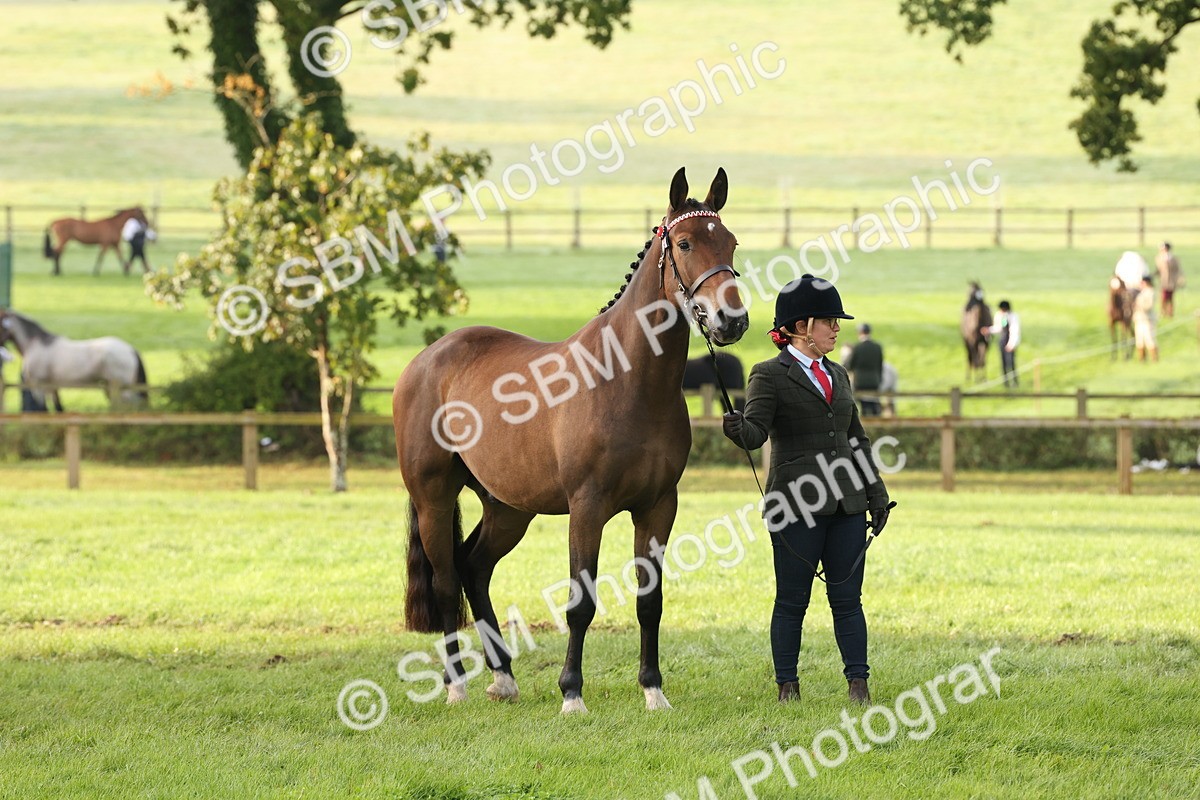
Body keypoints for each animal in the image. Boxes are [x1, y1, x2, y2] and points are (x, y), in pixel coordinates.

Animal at [0, 310, 148, 411]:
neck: (36, 344)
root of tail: (130, 349)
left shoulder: (38, 386)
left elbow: (44, 409)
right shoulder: (52, 387)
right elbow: (59, 408)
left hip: (123, 390)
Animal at [392, 168, 748, 714]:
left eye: (730, 242)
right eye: (686, 243)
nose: (732, 321)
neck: (627, 380)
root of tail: (425, 360)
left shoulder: (658, 507)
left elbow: (650, 602)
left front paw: (653, 691)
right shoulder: (587, 507)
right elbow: (581, 603)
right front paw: (572, 694)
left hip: (508, 509)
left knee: (474, 568)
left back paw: (503, 678)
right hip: (434, 498)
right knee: (448, 580)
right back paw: (456, 686)